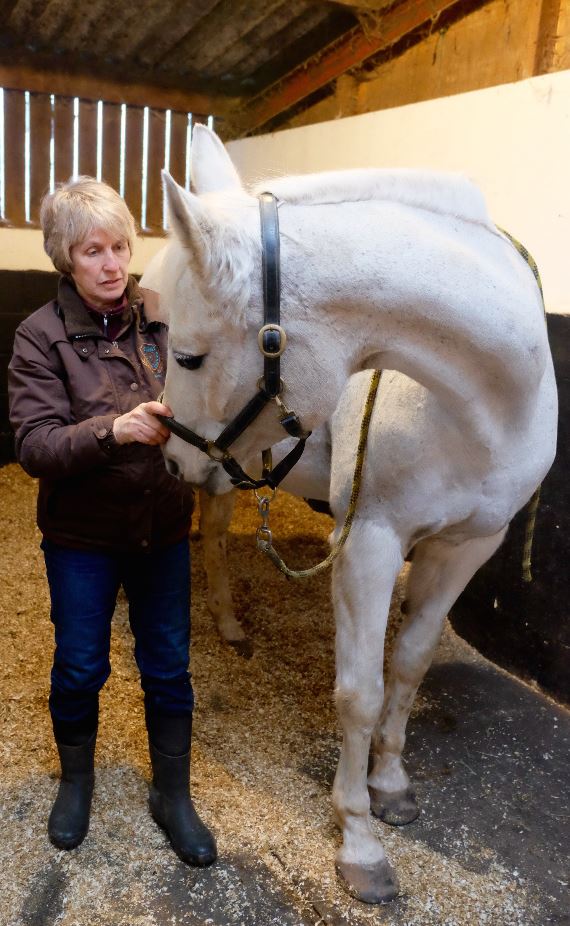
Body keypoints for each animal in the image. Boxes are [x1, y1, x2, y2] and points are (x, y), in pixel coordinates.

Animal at [149, 125, 557, 903]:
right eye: (167, 348)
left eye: (187, 356)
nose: (174, 459)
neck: (489, 402)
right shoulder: (370, 540)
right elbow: (360, 693)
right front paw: (361, 841)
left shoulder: (467, 546)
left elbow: (411, 663)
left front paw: (391, 783)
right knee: (210, 540)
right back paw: (226, 623)